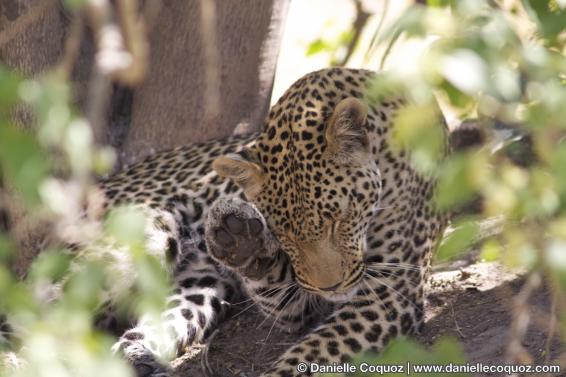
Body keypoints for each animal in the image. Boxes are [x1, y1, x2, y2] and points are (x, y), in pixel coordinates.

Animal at [3, 67, 452, 376]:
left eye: (337, 217)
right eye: (284, 232)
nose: (332, 287)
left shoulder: (388, 291)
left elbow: (314, 350)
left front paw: (241, 241)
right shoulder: (311, 293)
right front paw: (244, 239)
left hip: (197, 285)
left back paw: (140, 354)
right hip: (133, 239)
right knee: (32, 314)